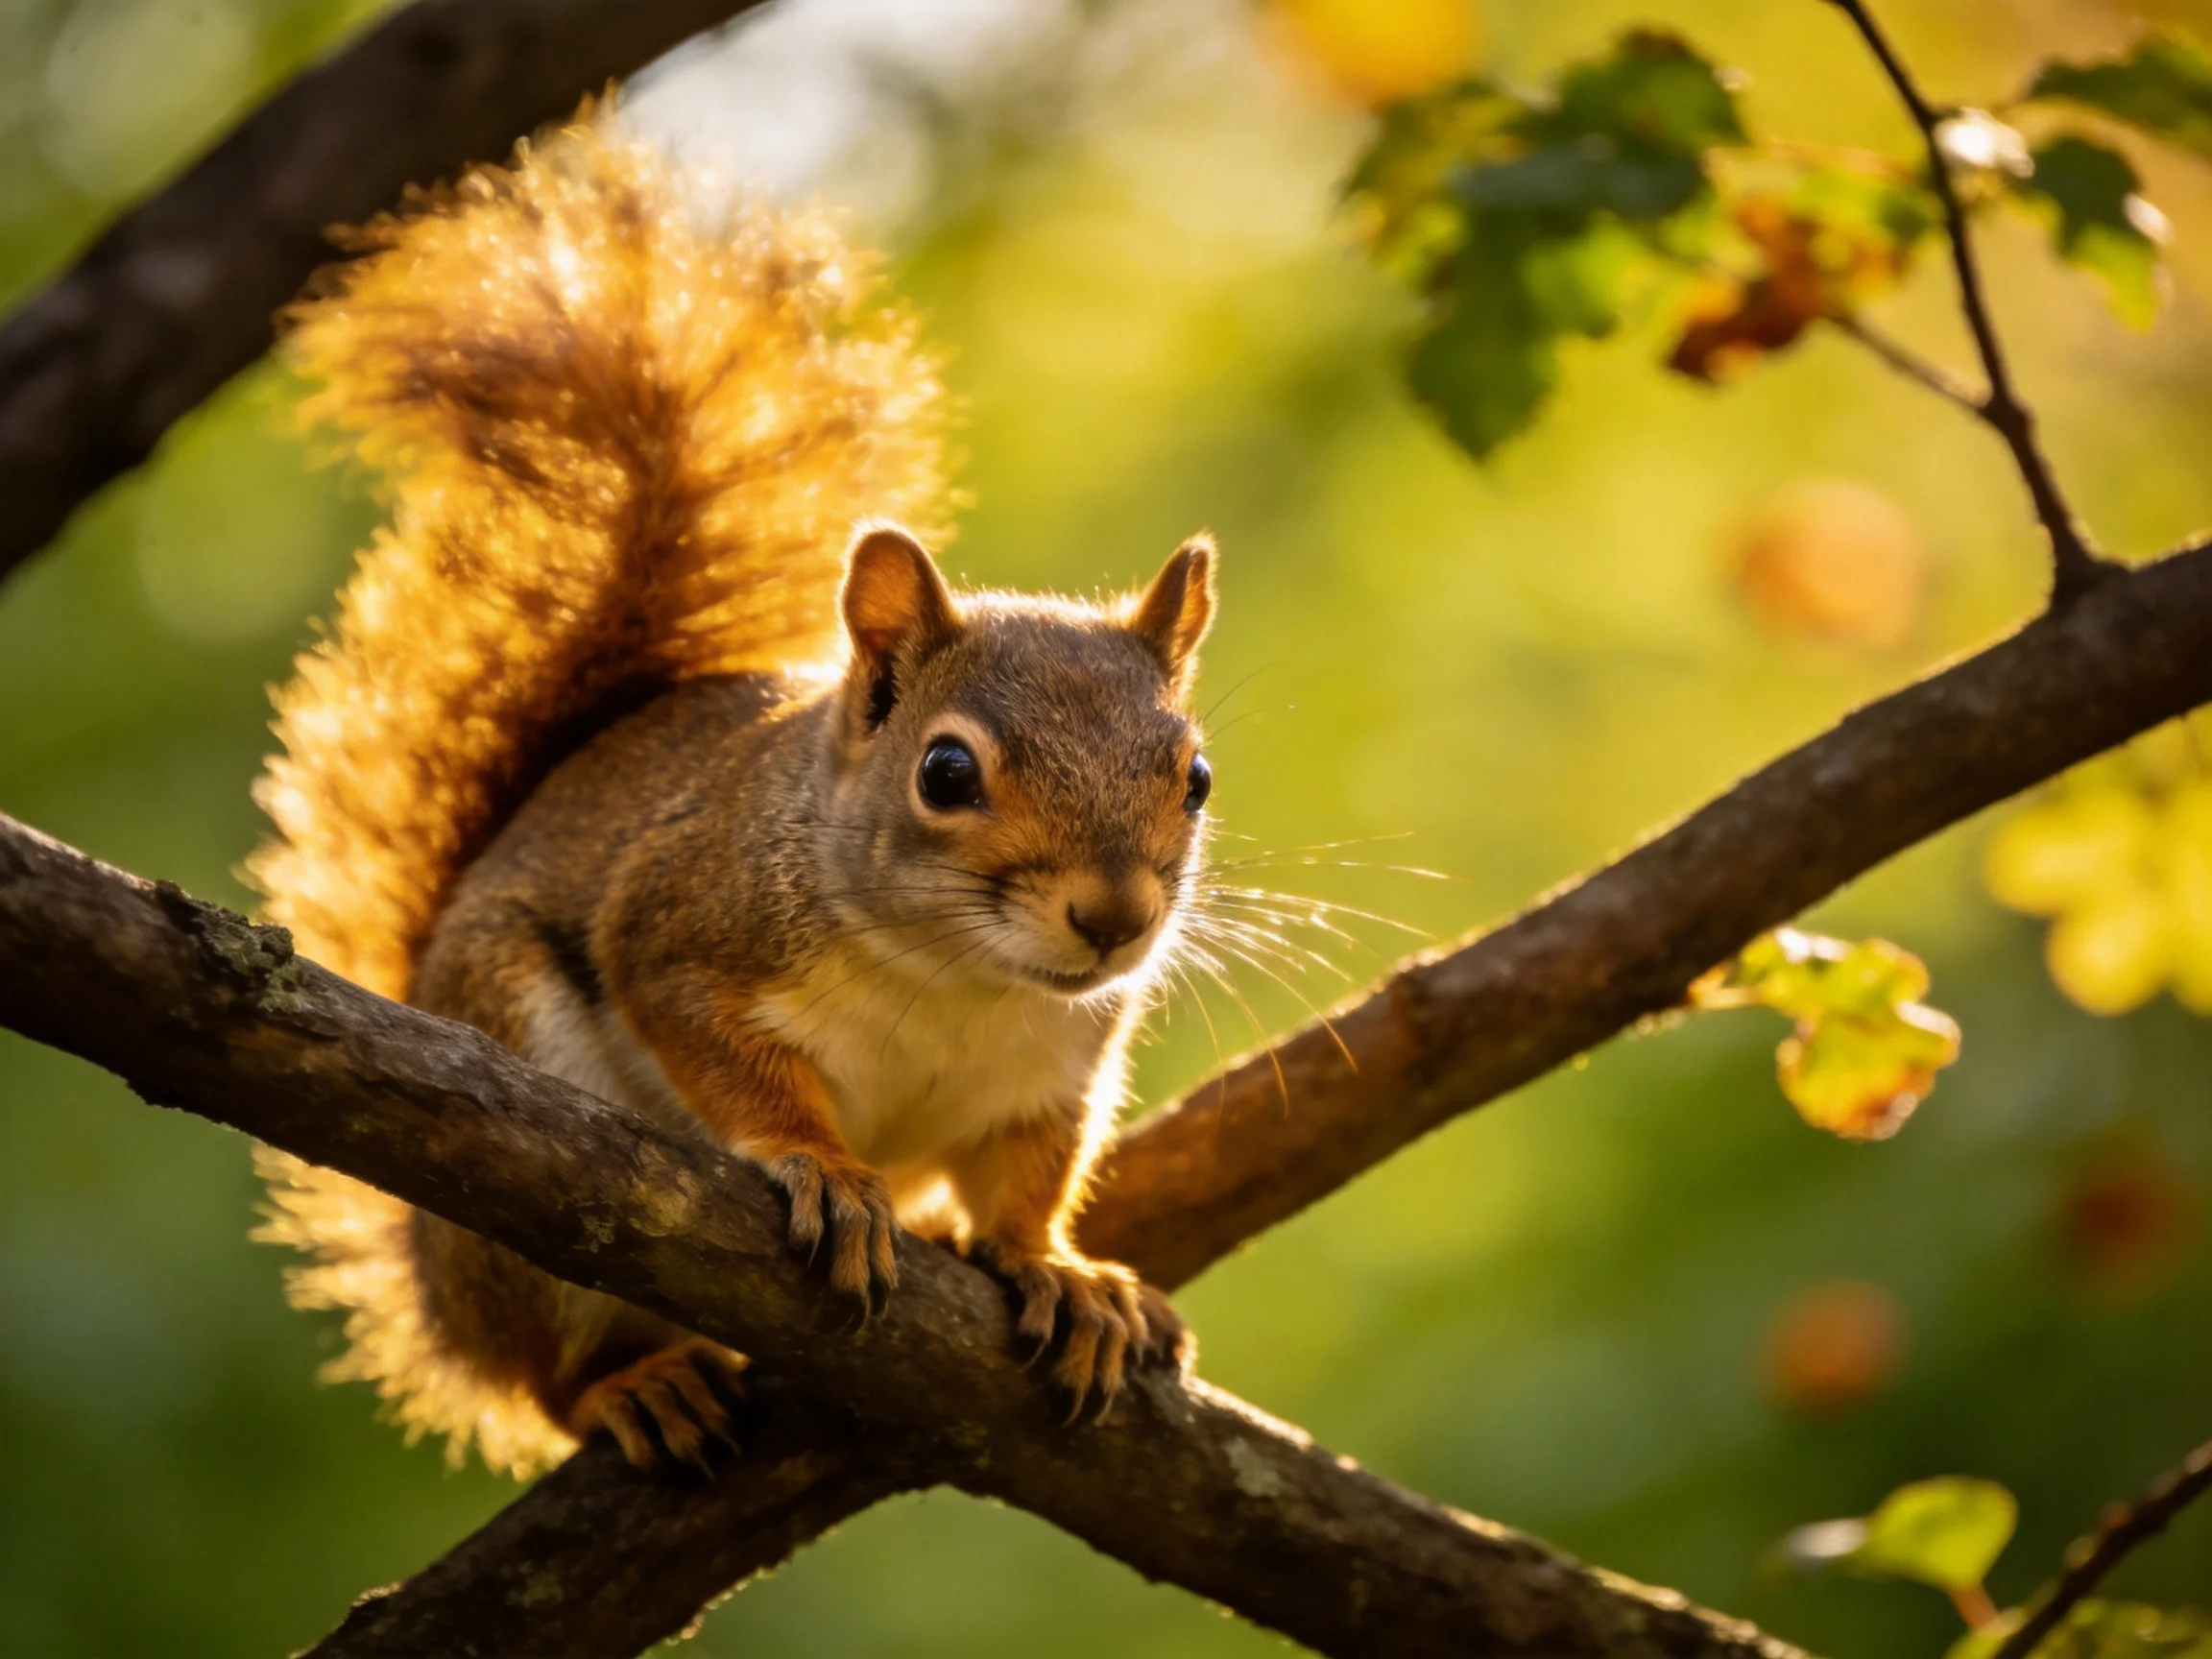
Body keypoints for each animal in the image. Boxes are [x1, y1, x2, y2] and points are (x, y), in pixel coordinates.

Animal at [249, 114, 1212, 1478]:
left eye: (1195, 777)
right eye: (947, 772)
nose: (1115, 919)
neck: (959, 980)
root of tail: (437, 1302)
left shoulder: (1047, 1079)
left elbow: (1028, 1182)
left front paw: (1059, 1271)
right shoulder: (685, 926)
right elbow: (723, 1052)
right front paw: (826, 1170)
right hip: (517, 1190)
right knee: (543, 1376)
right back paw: (631, 1386)